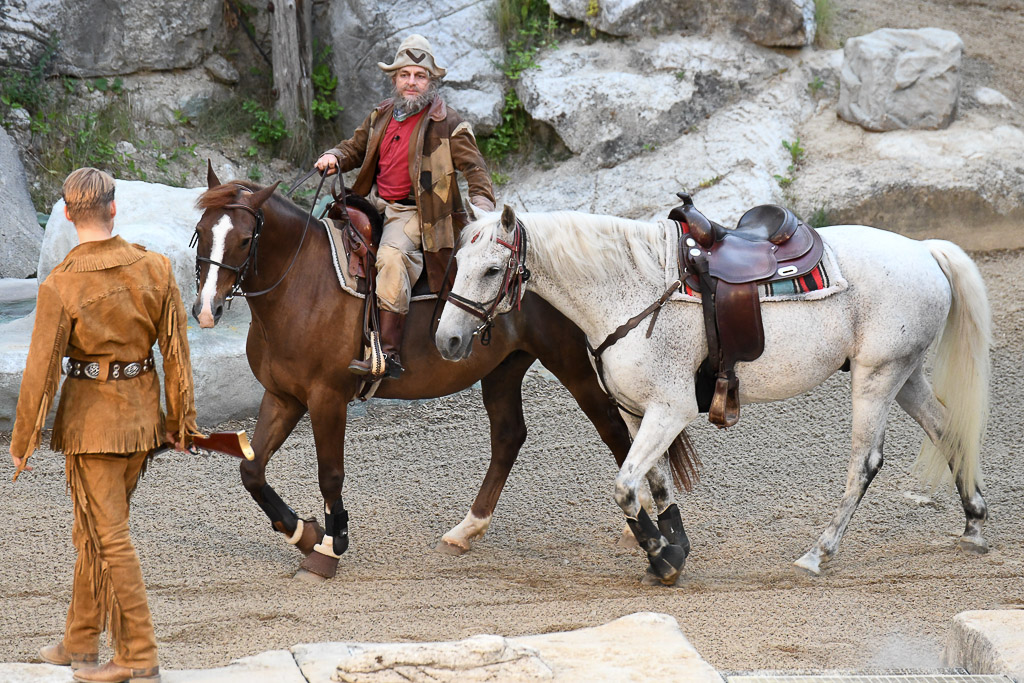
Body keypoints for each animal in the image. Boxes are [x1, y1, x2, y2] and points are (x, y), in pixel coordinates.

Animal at [189, 166, 643, 581]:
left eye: (244, 240)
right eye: (200, 231)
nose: (206, 309)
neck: (303, 285)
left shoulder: (326, 398)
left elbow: (330, 475)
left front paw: (330, 548)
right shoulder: (283, 396)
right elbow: (251, 472)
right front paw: (305, 534)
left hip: (570, 363)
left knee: (613, 428)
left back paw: (634, 527)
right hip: (503, 368)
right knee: (509, 437)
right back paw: (465, 530)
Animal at [438, 205, 991, 585]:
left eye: (492, 270)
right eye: (457, 261)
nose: (447, 341)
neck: (630, 291)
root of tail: (924, 249)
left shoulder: (671, 409)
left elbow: (625, 486)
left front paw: (662, 557)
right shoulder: (637, 411)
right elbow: (655, 484)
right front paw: (673, 548)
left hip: (877, 377)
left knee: (866, 461)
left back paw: (819, 552)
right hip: (905, 375)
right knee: (945, 428)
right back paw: (974, 524)